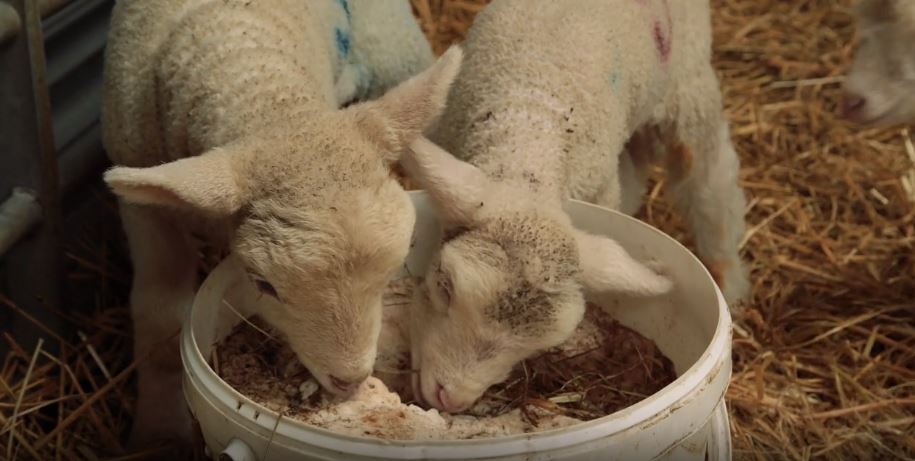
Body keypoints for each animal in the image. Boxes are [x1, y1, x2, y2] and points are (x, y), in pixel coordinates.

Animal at [101, 0, 458, 446]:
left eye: (394, 271)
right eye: (264, 284)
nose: (350, 381)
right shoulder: (144, 204)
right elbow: (160, 314)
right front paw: (160, 433)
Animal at [408, 0, 752, 412]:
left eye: (533, 348)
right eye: (444, 286)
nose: (450, 399)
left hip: (688, 85)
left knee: (709, 180)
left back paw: (728, 277)